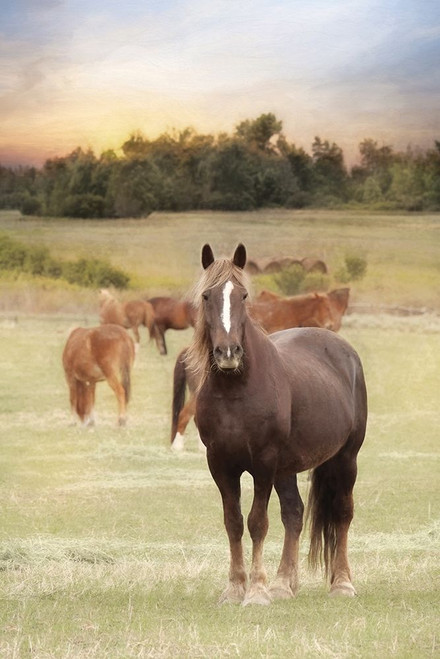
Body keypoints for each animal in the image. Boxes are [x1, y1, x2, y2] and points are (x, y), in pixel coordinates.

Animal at [186, 243, 367, 605]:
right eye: (206, 296)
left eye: (242, 295)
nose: (228, 352)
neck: (236, 390)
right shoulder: (220, 464)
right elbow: (233, 522)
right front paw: (235, 588)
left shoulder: (263, 464)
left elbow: (257, 522)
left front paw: (256, 591)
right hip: (287, 468)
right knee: (294, 514)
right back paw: (285, 584)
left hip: (345, 458)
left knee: (342, 513)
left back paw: (342, 583)